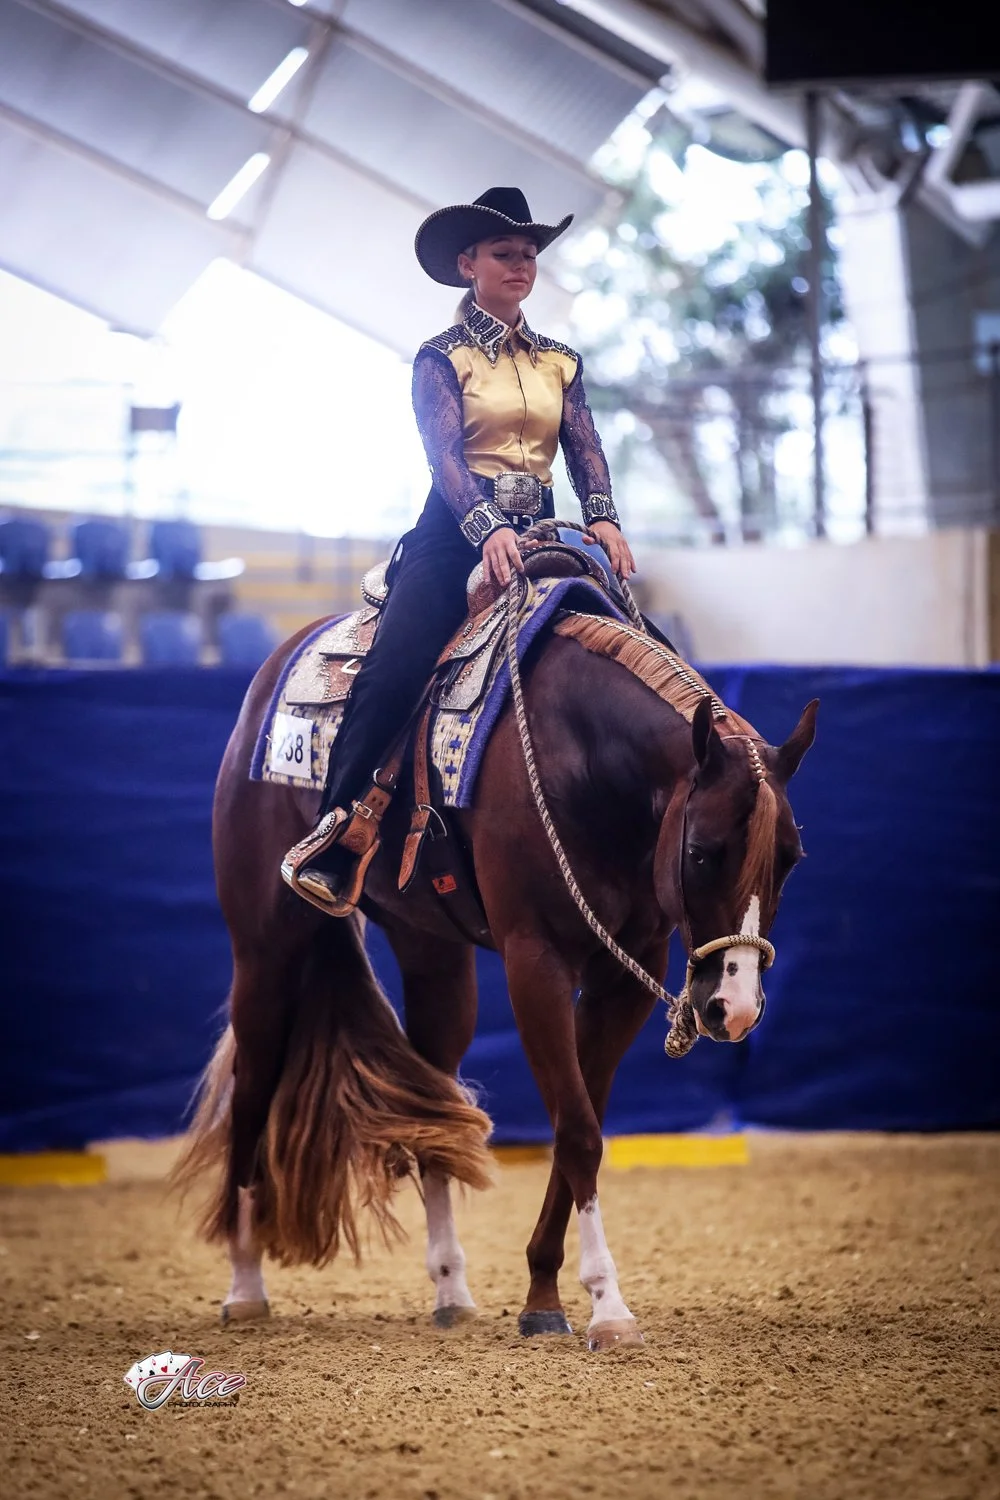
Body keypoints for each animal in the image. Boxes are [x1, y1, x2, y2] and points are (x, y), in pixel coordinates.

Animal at [173, 574, 817, 1352]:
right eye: (701, 852)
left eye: (791, 859)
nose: (736, 1008)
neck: (589, 760)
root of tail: (277, 667)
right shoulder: (534, 961)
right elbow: (578, 1131)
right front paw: (607, 1306)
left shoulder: (623, 973)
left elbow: (580, 1126)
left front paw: (543, 1294)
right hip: (264, 950)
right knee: (251, 1093)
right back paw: (244, 1285)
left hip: (434, 956)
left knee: (433, 1103)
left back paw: (452, 1288)